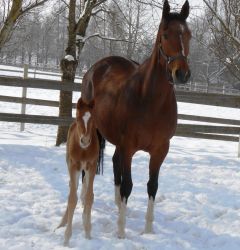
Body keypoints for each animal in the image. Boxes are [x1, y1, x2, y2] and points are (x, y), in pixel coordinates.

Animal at [56, 97, 104, 246]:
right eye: (78, 118)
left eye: (93, 118)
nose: (85, 140)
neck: (83, 150)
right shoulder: (73, 166)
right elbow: (72, 198)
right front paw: (66, 239)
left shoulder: (92, 166)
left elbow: (89, 197)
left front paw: (88, 233)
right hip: (71, 166)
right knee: (73, 187)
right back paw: (62, 222)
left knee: (86, 190)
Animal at [80, 0, 191, 238]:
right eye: (165, 34)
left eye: (188, 35)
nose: (182, 74)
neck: (150, 101)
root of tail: (97, 67)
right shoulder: (129, 147)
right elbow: (128, 185)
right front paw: (121, 232)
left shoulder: (160, 150)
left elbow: (152, 185)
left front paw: (148, 230)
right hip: (93, 131)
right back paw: (85, 198)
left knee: (115, 164)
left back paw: (117, 205)